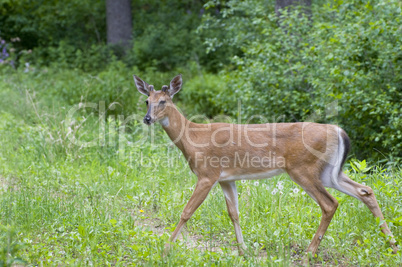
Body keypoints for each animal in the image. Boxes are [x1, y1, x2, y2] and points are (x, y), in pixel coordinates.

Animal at [133, 74, 398, 260]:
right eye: (146, 101)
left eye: (163, 101)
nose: (147, 119)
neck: (193, 138)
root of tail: (339, 131)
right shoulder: (226, 178)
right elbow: (234, 213)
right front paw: (243, 252)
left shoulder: (208, 174)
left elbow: (186, 212)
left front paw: (165, 251)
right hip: (329, 172)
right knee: (365, 190)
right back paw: (393, 245)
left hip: (303, 169)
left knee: (330, 204)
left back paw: (308, 254)